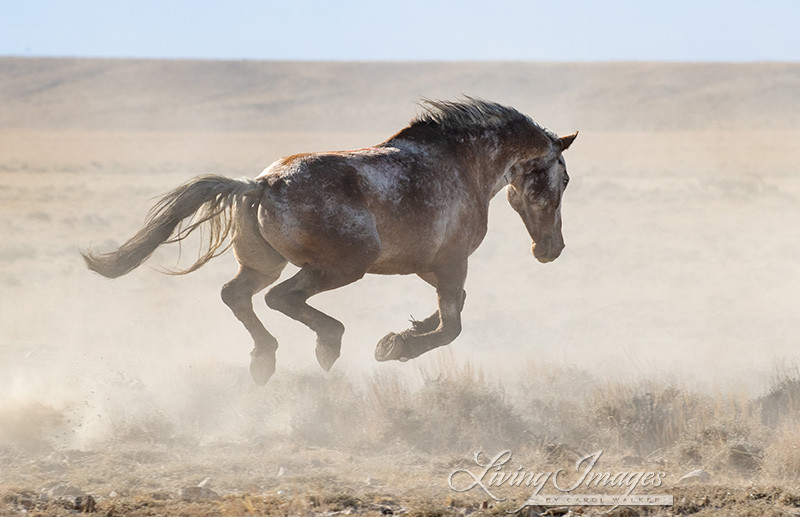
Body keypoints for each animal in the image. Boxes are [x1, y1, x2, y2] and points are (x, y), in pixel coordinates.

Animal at [82, 98, 577, 385]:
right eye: (565, 178)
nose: (551, 250)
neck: (462, 163)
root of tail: (261, 184)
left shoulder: (429, 266)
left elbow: (451, 309)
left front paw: (410, 329)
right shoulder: (452, 261)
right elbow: (451, 325)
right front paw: (396, 346)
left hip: (264, 264)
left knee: (236, 295)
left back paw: (264, 360)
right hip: (342, 267)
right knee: (282, 299)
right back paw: (327, 344)